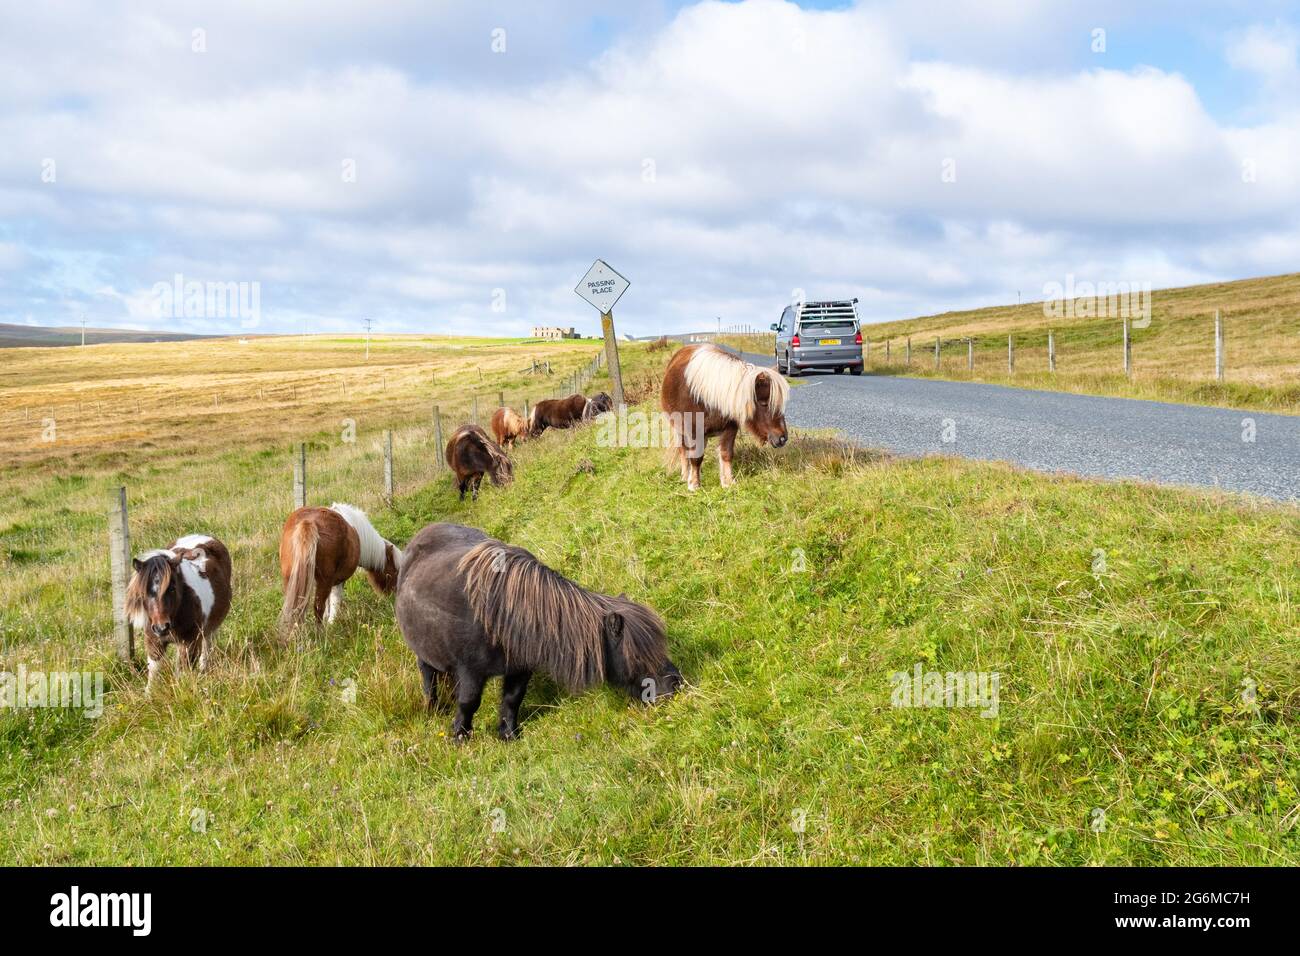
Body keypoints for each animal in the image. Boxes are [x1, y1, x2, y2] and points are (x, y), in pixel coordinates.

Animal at [125, 535, 232, 686]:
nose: (161, 627)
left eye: (172, 588)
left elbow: (182, 673)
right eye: (143, 592)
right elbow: (153, 673)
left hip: (208, 629)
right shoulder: (154, 642)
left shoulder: (190, 643)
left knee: (207, 646)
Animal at [280, 504, 403, 632]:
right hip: (323, 582)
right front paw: (331, 622)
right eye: (395, 571)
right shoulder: (337, 581)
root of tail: (308, 522)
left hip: (292, 581)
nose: (394, 596)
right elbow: (334, 600)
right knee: (318, 607)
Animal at [392, 522, 681, 738]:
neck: (502, 615)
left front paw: (508, 734)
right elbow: (469, 702)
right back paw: (433, 707)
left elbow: (512, 699)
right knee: (428, 677)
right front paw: (460, 736)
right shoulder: (471, 670)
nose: (675, 683)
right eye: (638, 656)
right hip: (424, 655)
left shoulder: (520, 669)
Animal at [665, 345, 785, 494]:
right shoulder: (694, 432)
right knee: (683, 450)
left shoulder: (729, 429)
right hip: (679, 429)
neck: (709, 398)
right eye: (764, 403)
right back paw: (685, 475)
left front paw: (728, 482)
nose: (782, 438)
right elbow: (696, 457)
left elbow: (726, 454)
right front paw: (694, 484)